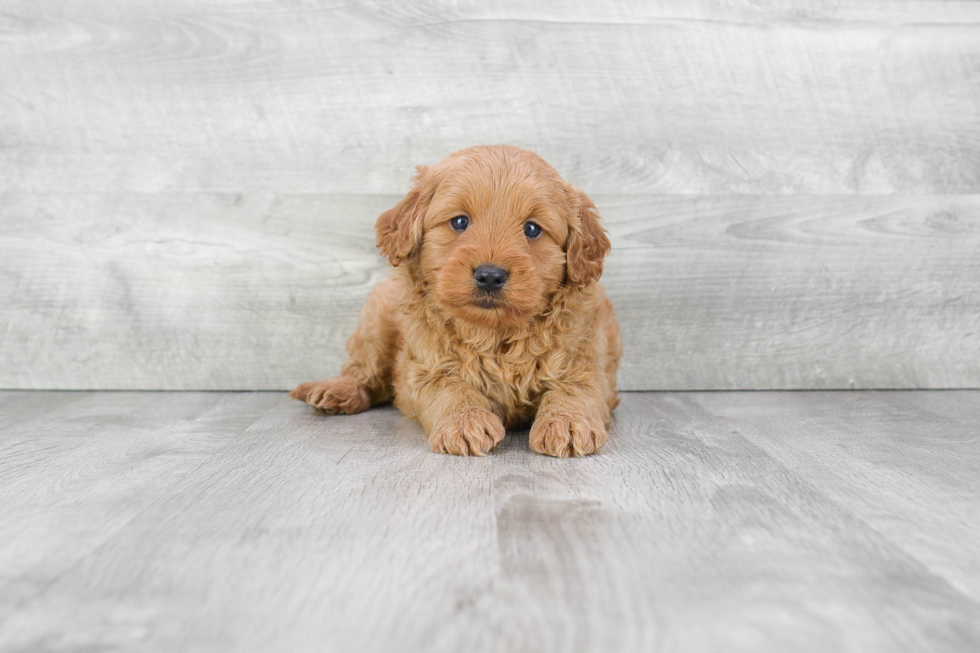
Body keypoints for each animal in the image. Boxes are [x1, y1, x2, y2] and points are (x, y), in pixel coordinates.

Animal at [290, 145, 624, 456]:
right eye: (460, 222)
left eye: (532, 228)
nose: (490, 276)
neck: (494, 334)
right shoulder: (426, 369)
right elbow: (450, 389)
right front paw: (465, 422)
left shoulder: (587, 362)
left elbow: (575, 389)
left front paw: (567, 423)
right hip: (375, 321)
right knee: (363, 370)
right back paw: (336, 390)